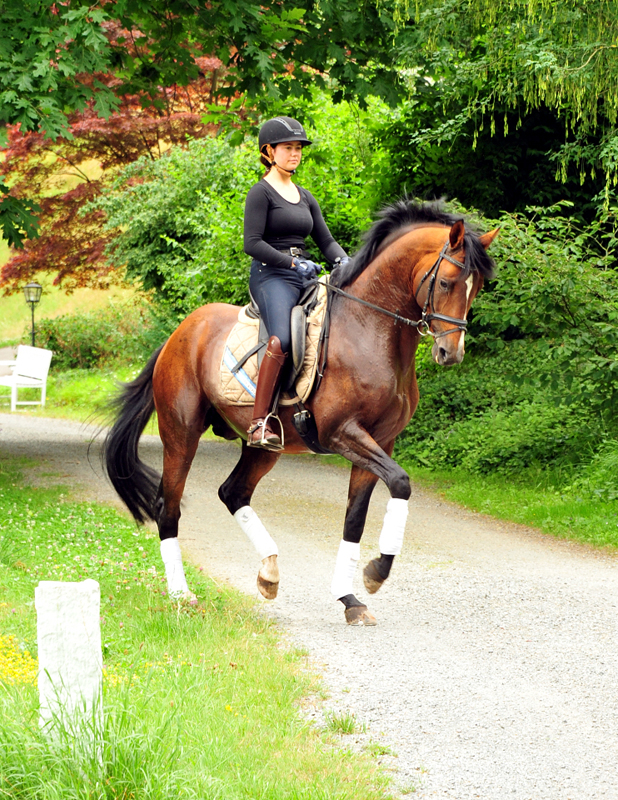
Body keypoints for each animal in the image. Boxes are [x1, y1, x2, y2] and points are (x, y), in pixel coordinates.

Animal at [102, 200, 496, 624]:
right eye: (446, 283)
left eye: (477, 287)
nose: (450, 353)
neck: (369, 329)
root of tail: (179, 333)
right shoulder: (342, 433)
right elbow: (401, 482)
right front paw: (376, 573)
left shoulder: (381, 440)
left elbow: (356, 517)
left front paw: (351, 599)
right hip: (181, 434)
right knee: (169, 507)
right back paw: (182, 594)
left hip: (262, 446)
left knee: (233, 492)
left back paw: (269, 573)